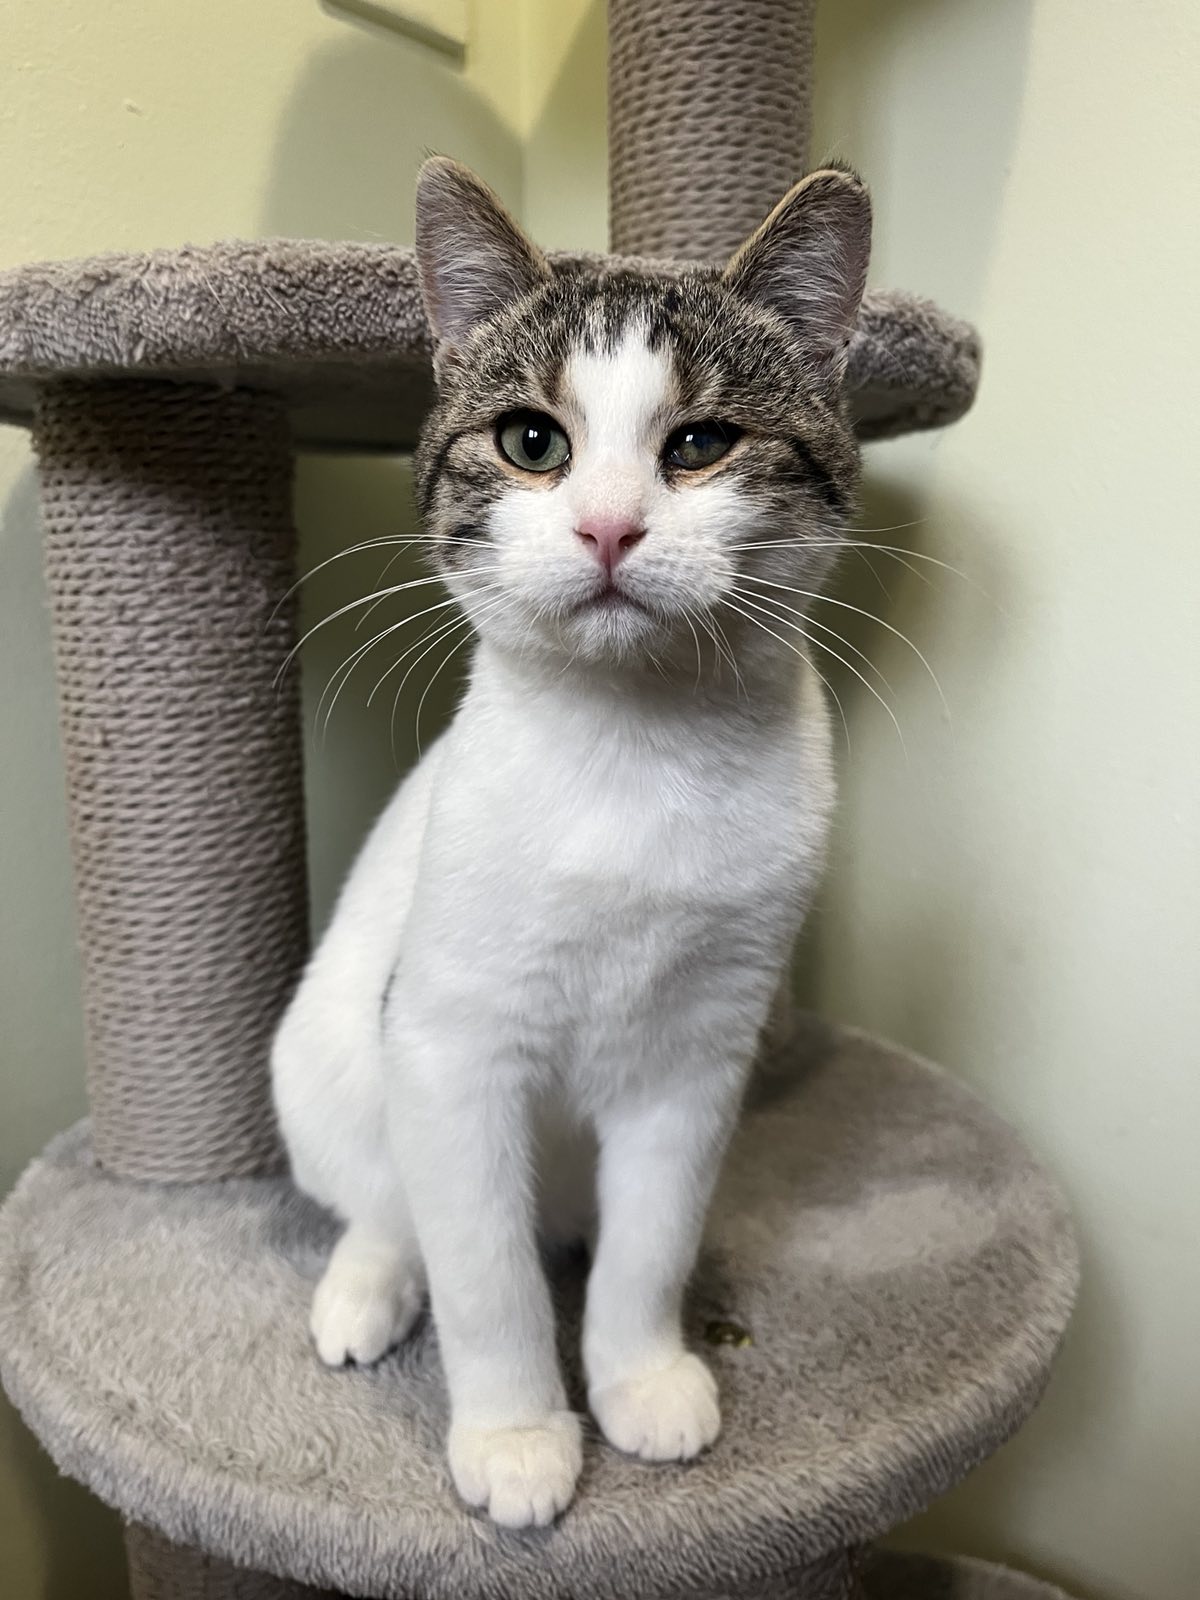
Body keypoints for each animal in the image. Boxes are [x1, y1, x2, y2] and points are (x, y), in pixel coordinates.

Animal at [272, 155, 870, 1527]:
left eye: (700, 443)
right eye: (531, 441)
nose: (605, 527)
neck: (633, 755)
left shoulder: (702, 1049)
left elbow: (650, 1240)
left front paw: (636, 1373)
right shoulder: (451, 1042)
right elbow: (484, 1273)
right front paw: (514, 1432)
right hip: (327, 1054)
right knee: (386, 1201)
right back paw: (371, 1284)